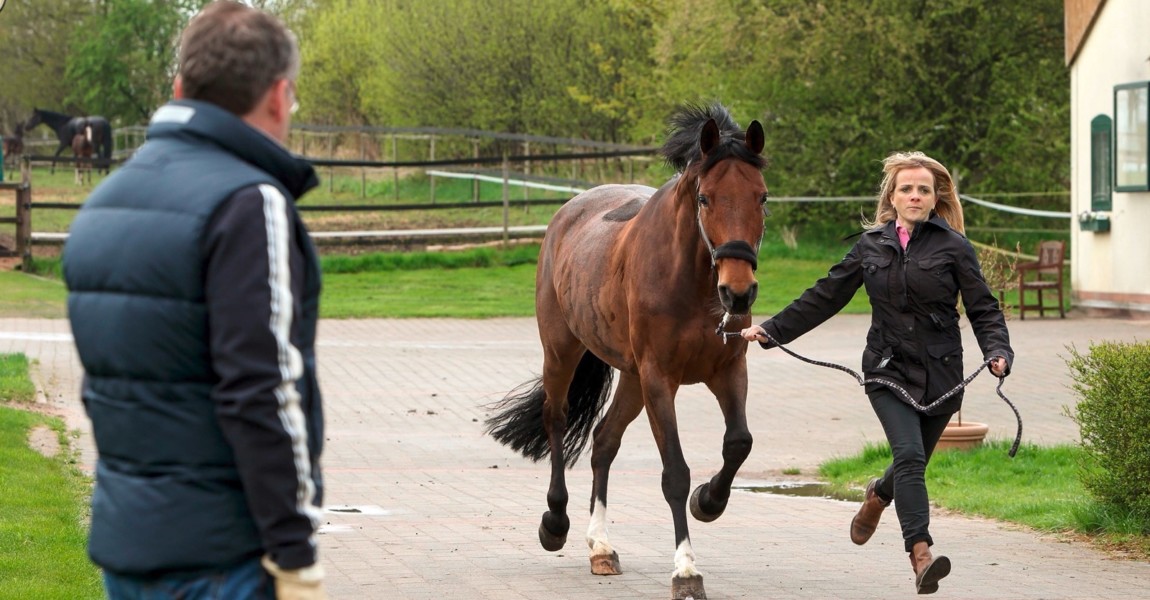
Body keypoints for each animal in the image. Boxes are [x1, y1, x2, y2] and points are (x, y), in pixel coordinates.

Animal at [487, 104, 772, 597]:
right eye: (705, 198)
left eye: (762, 197)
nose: (738, 292)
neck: (691, 282)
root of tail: (569, 212)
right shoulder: (660, 379)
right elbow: (675, 473)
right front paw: (686, 571)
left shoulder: (728, 370)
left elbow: (739, 443)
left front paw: (708, 501)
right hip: (563, 352)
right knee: (557, 420)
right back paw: (555, 523)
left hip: (633, 379)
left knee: (604, 440)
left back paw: (601, 547)